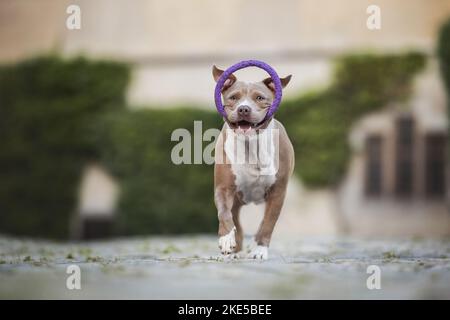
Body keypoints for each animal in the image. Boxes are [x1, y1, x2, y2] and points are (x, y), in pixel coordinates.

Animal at [212, 65, 294, 260]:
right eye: (233, 97)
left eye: (260, 98)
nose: (243, 109)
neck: (251, 146)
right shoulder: (223, 188)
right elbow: (224, 214)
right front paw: (226, 240)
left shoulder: (278, 193)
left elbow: (268, 223)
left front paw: (259, 250)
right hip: (236, 201)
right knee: (236, 221)